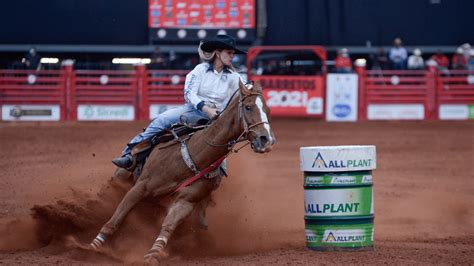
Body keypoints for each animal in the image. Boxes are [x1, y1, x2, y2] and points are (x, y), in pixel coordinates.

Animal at [89, 81, 276, 264]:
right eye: (249, 107)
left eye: (267, 110)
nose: (266, 140)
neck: (191, 156)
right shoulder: (140, 187)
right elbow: (117, 217)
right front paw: (94, 246)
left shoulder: (186, 201)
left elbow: (169, 225)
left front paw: (153, 253)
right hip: (121, 176)